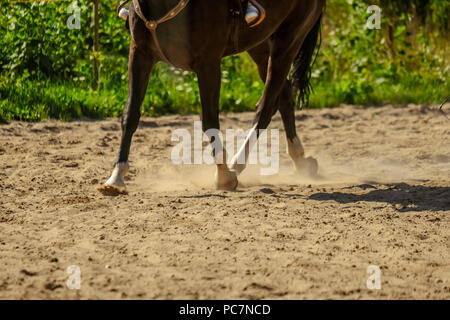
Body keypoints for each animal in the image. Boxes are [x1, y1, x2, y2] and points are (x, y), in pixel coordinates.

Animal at [98, 0, 326, 194]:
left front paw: (224, 174)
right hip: (260, 46)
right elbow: (130, 115)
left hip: (288, 42)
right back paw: (301, 159)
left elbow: (209, 120)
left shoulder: (208, 62)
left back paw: (236, 164)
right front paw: (116, 177)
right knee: (284, 94)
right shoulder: (140, 54)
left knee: (266, 106)